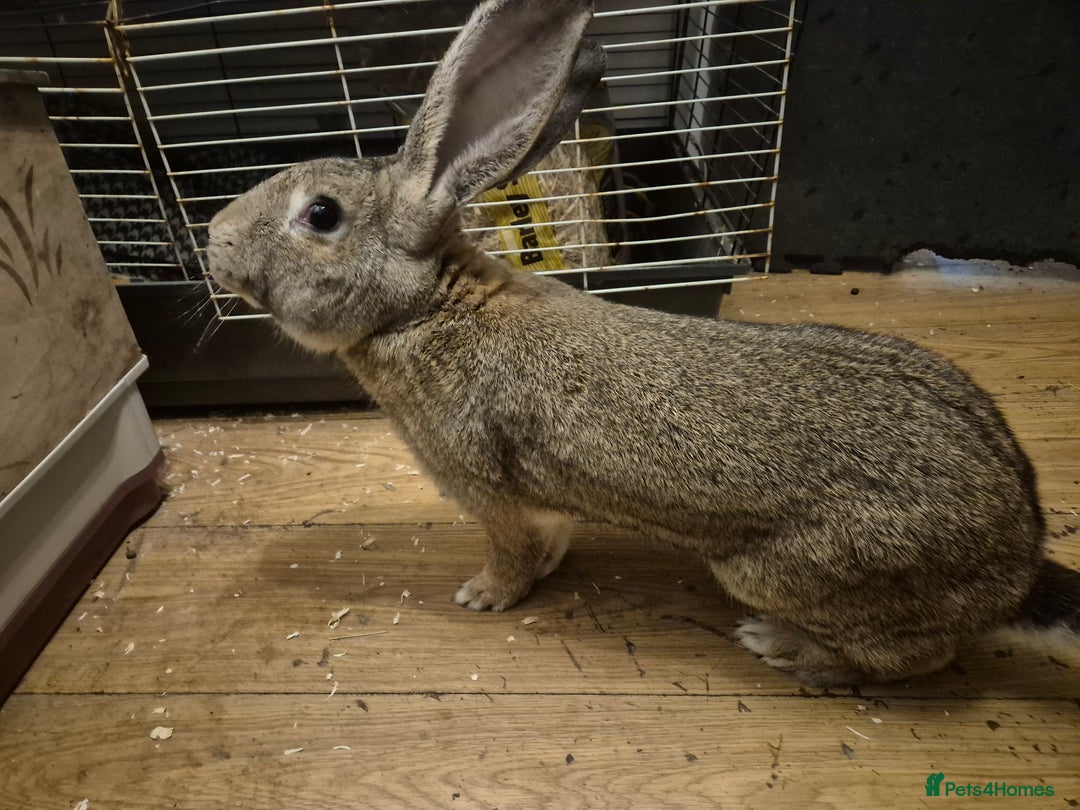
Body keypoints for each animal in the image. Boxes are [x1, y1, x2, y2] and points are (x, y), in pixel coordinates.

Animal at [207, 0, 1080, 686]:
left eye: (321, 215)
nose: (214, 238)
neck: (424, 306)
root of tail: (1017, 567)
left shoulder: (484, 487)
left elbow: (510, 551)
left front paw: (485, 595)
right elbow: (551, 534)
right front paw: (548, 565)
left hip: (777, 570)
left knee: (918, 658)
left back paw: (783, 647)